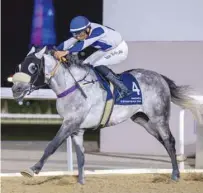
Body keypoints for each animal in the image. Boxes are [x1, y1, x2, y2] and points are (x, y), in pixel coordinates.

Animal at [11, 46, 203, 184]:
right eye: (19, 66)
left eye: (33, 67)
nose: (16, 89)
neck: (71, 87)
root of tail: (160, 77)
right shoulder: (76, 129)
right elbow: (80, 155)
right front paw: (81, 182)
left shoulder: (70, 122)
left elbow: (52, 145)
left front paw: (32, 169)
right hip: (143, 120)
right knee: (164, 141)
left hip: (159, 117)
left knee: (169, 141)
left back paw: (176, 175)